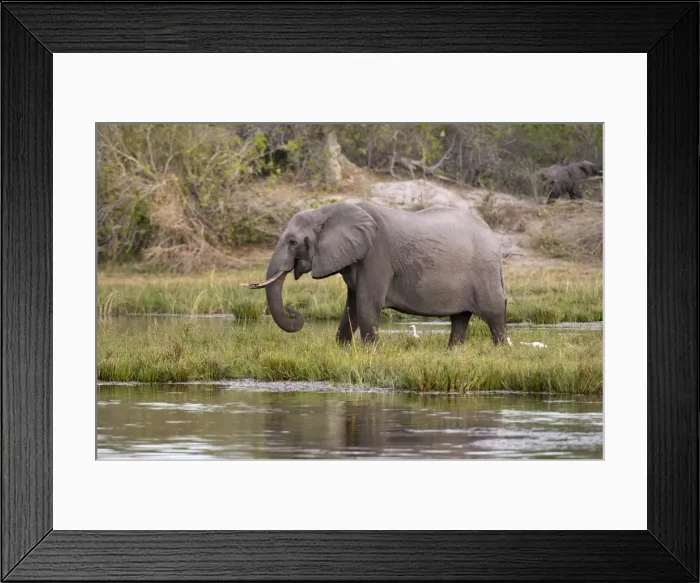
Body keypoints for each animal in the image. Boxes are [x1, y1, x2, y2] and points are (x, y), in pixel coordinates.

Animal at [244, 202, 508, 348]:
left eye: (292, 242)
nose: (292, 311)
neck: (327, 212)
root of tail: (493, 235)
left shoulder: (376, 256)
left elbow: (366, 303)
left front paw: (371, 353)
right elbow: (351, 306)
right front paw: (341, 350)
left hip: (484, 272)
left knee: (494, 315)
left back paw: (501, 352)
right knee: (460, 318)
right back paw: (452, 353)